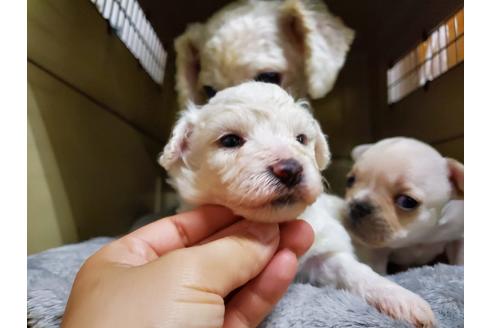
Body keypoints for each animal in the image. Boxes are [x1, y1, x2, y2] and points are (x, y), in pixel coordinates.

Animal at [160, 82, 436, 328]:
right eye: (229, 141)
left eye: (301, 138)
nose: (290, 169)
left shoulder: (325, 252)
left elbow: (356, 271)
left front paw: (403, 300)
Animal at [344, 138, 464, 274]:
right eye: (350, 181)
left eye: (407, 201)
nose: (358, 206)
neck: (419, 236)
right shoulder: (375, 251)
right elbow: (377, 269)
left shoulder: (458, 237)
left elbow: (460, 260)